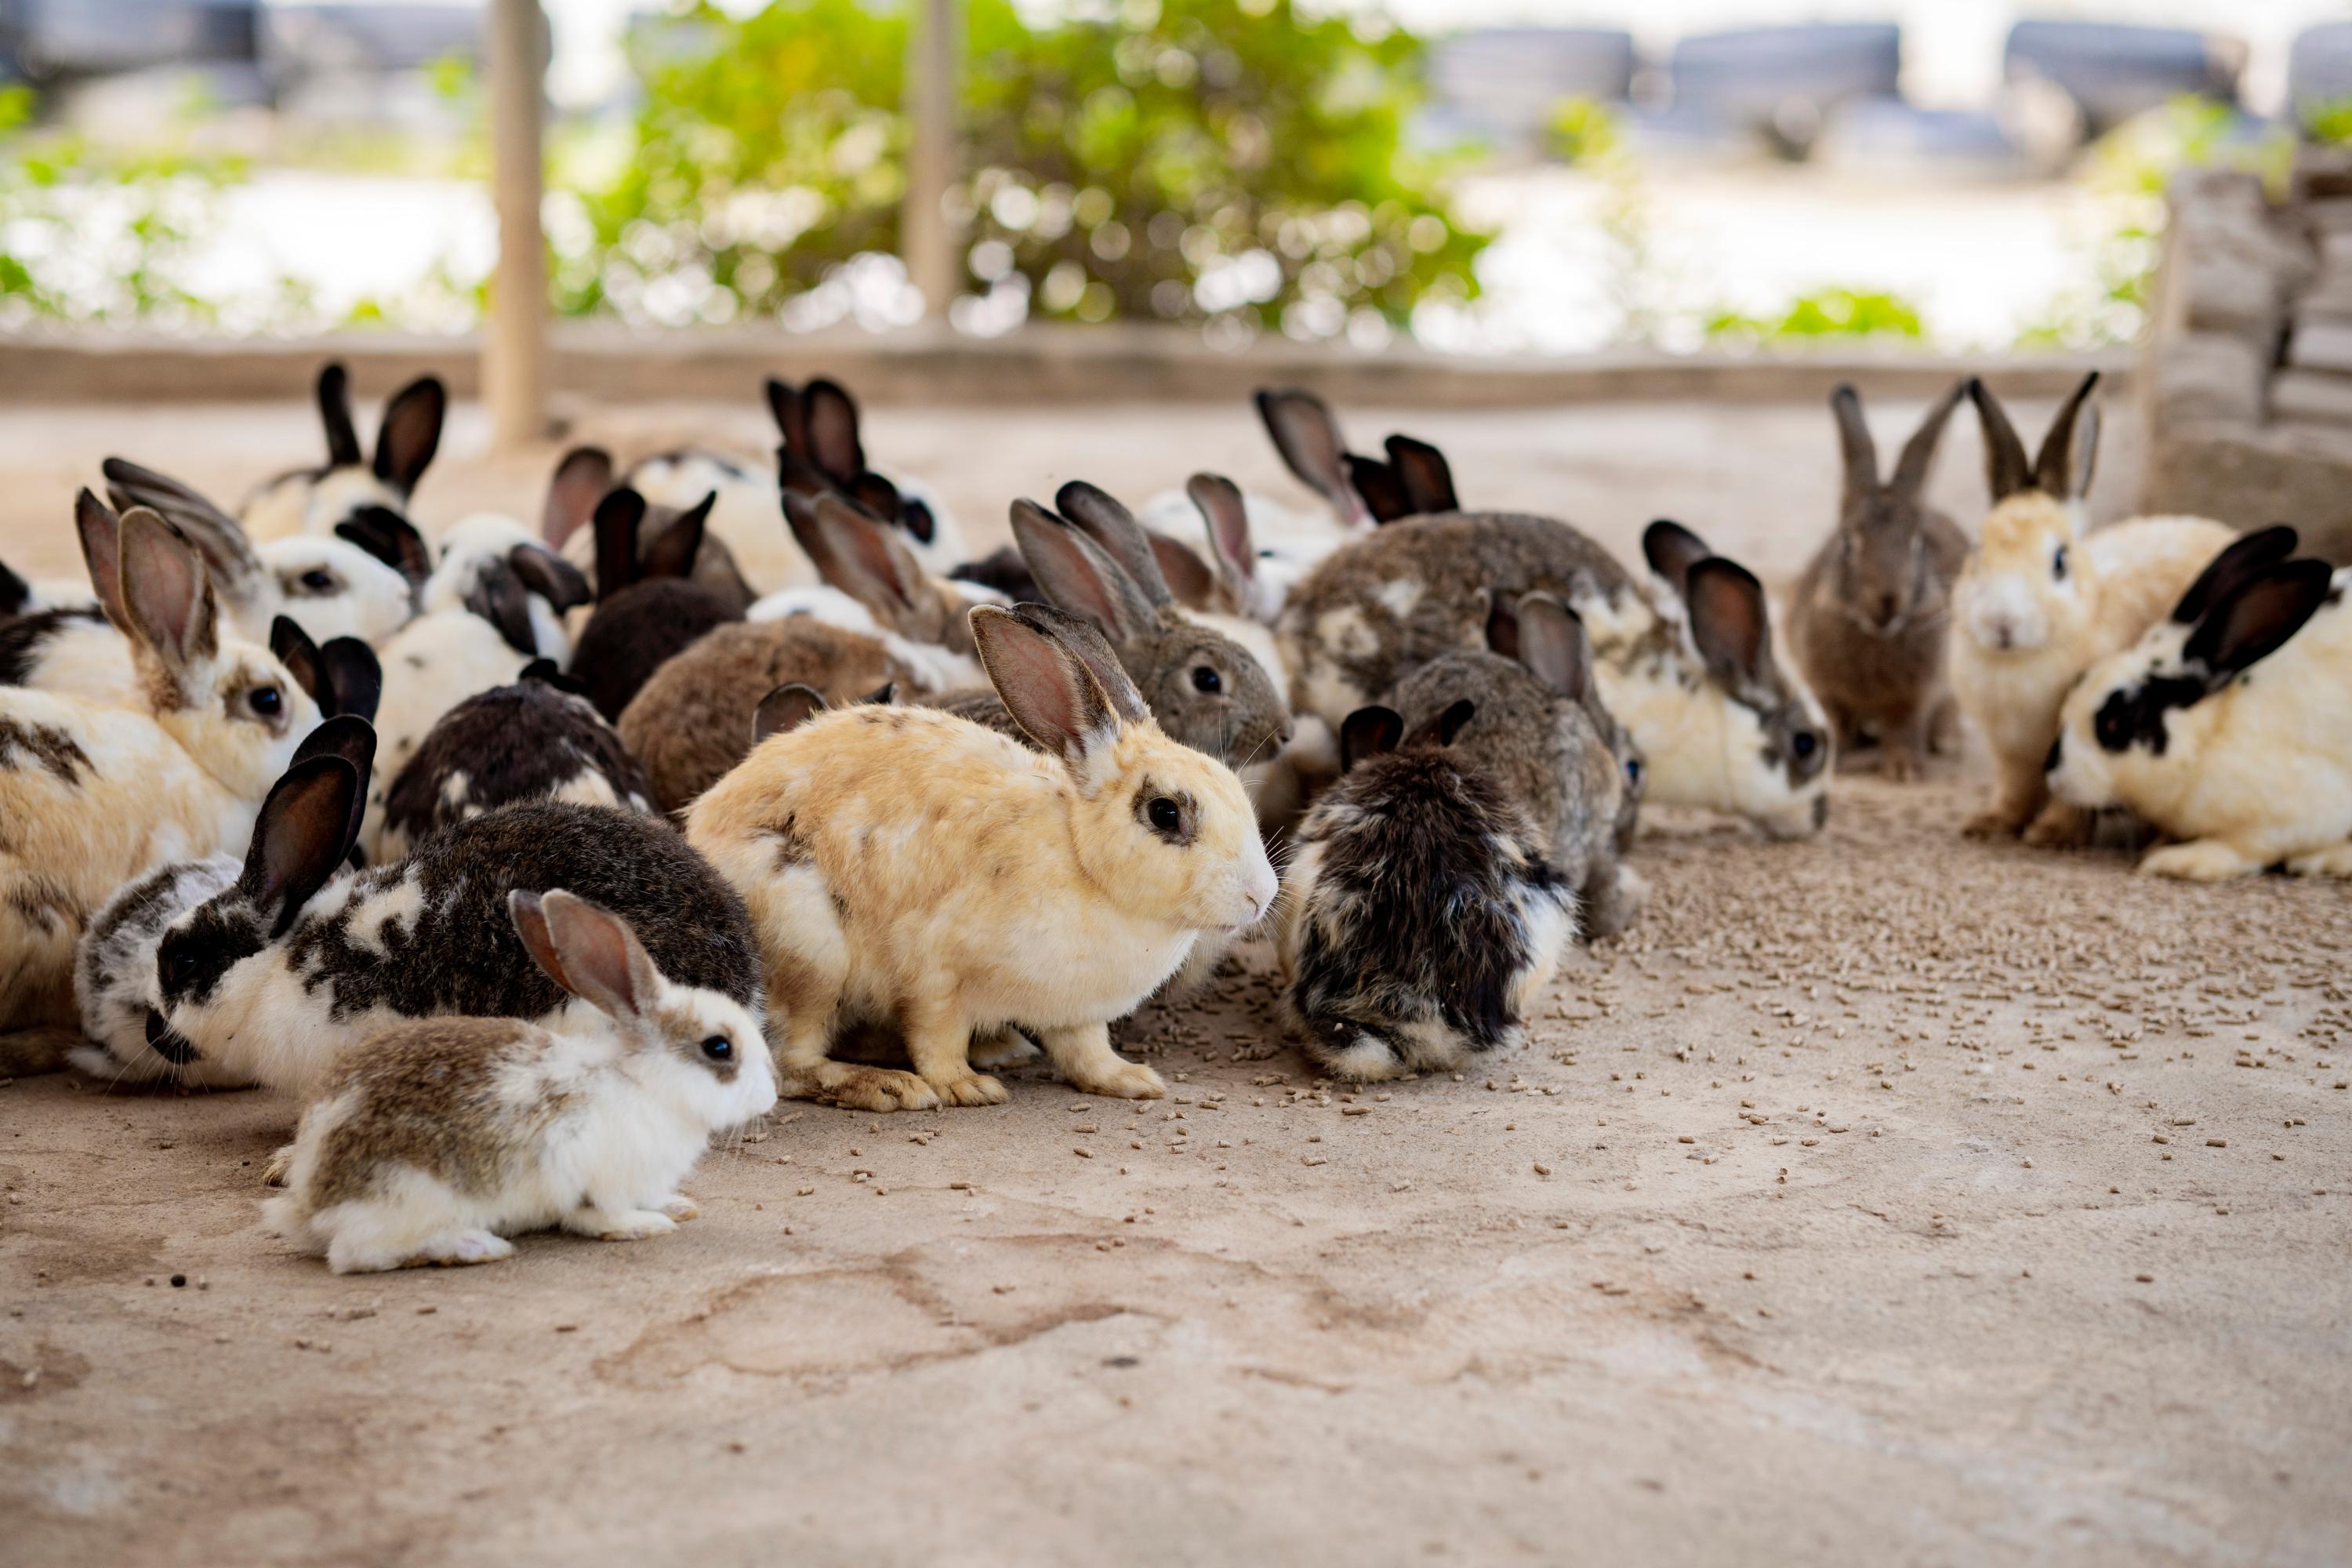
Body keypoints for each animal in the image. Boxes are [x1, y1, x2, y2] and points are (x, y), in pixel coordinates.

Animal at [260, 888, 776, 1273]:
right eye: (719, 1047)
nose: (770, 1094)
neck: (644, 1085)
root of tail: (311, 1199)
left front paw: (675, 1206)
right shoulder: (601, 1178)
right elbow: (602, 1216)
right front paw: (646, 1226)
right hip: (409, 1194)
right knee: (356, 1253)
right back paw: (473, 1246)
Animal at [686, 603, 1277, 1113]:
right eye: (1165, 813)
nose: (1261, 895)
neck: (1082, 861)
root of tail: (702, 823)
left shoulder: (1077, 1012)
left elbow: (1086, 1051)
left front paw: (1131, 1080)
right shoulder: (933, 977)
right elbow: (936, 1038)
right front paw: (964, 1087)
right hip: (811, 952)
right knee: (791, 1061)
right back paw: (887, 1087)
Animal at [1787, 382, 1971, 782]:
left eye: (1918, 543)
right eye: (1846, 542)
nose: (1888, 599)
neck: (1874, 634)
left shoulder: (1913, 695)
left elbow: (1904, 726)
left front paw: (1904, 770)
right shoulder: (1826, 690)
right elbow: (1836, 721)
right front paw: (1833, 762)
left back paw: (1948, 741)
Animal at [1951, 373, 2236, 846]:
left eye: (2059, 561)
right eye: (1975, 554)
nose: (2002, 622)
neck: (2017, 660)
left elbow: (2069, 797)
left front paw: (2050, 836)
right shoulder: (2011, 756)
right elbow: (2013, 792)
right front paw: (1988, 825)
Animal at [2046, 526, 2352, 881]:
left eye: (2119, 719)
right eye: (2081, 679)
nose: (2051, 772)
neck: (2208, 737)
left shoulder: (2292, 816)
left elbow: (2242, 848)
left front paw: (2176, 860)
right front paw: (2161, 844)